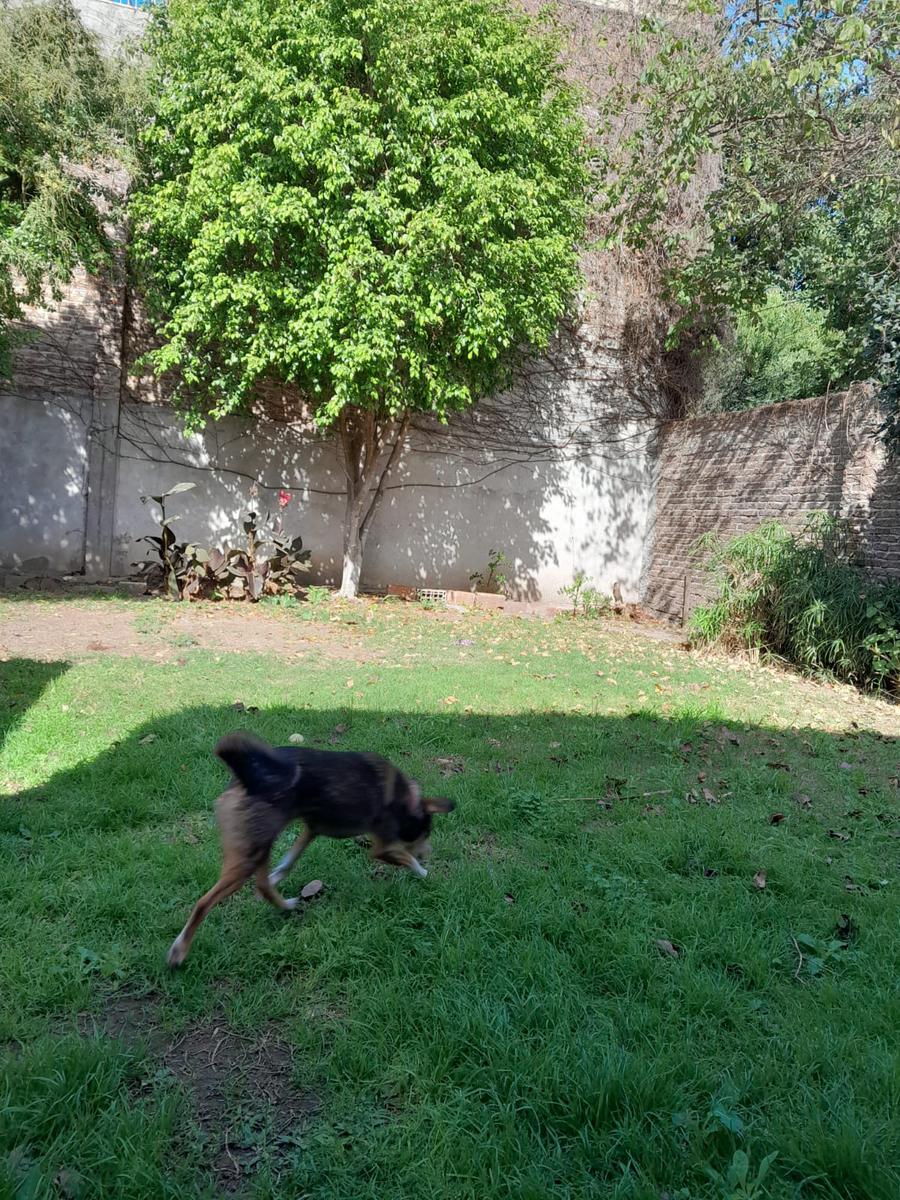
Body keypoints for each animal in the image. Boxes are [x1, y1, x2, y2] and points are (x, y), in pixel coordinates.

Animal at [166, 729, 453, 964]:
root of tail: (246, 774)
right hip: (250, 854)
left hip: (260, 843)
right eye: (425, 834)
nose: (427, 854)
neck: (406, 800)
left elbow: (287, 863)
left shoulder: (310, 830)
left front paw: (278, 877)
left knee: (262, 884)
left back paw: (286, 904)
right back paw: (179, 951)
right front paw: (424, 873)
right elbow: (405, 858)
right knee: (204, 903)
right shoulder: (382, 848)